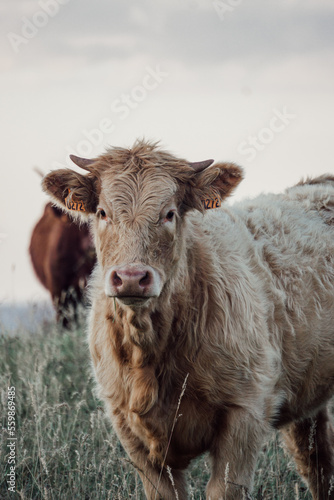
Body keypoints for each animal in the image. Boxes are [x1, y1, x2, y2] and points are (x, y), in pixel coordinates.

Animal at [41, 141, 334, 500]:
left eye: (169, 213)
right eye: (102, 213)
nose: (131, 277)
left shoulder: (245, 413)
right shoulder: (132, 433)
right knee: (317, 461)